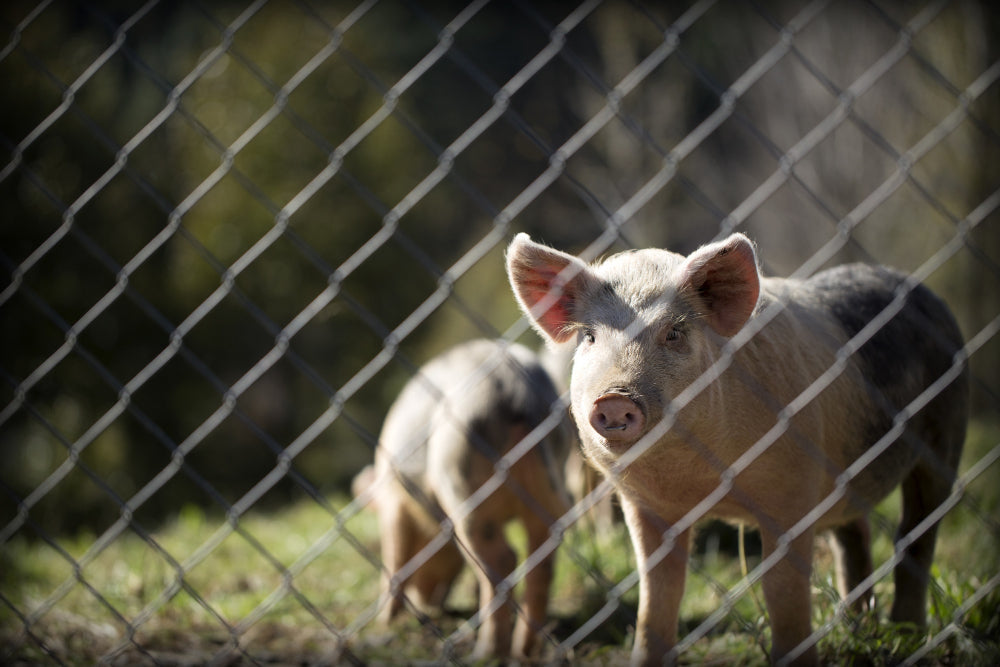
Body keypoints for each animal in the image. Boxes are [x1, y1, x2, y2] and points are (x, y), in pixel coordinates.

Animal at [366, 338, 572, 659]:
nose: (430, 605)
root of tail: (517, 391)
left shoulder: (394, 502)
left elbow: (394, 555)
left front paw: (383, 622)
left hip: (459, 475)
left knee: (502, 558)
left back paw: (485, 653)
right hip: (551, 481)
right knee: (542, 556)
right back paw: (523, 652)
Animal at [506, 232, 968, 665]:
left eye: (674, 333)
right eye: (589, 336)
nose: (615, 398)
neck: (701, 481)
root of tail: (919, 290)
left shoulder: (792, 491)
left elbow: (781, 590)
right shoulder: (645, 505)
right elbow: (658, 593)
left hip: (945, 431)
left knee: (916, 533)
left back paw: (907, 633)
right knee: (855, 534)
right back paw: (859, 627)